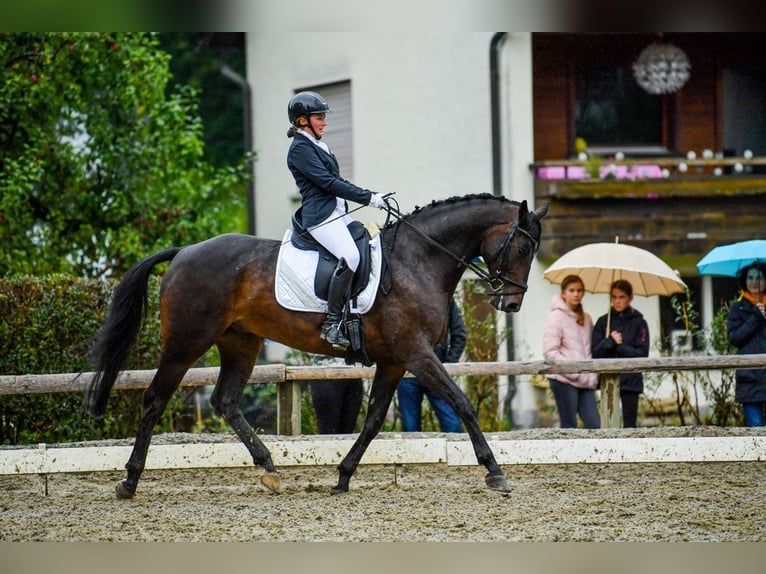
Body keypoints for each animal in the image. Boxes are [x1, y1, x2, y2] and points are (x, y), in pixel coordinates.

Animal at [87, 195, 548, 500]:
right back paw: (129, 481)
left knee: (225, 400)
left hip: (241, 342)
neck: (418, 260)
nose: (511, 303)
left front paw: (342, 476)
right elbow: (462, 404)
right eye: (523, 247)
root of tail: (184, 252)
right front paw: (494, 471)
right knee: (154, 399)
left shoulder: (395, 361)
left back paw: (269, 468)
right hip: (187, 342)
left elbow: (374, 420)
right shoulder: (418, 354)